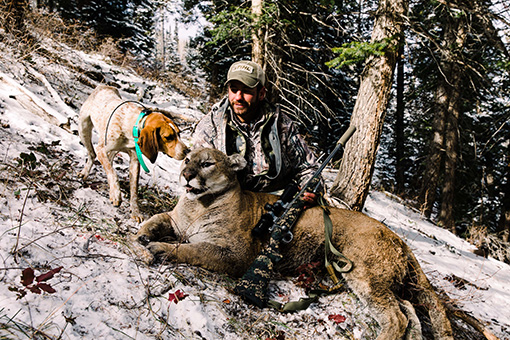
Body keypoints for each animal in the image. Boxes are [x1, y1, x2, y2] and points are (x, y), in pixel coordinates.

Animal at [78, 85, 190, 220]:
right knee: (93, 155)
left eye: (179, 134)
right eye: (168, 137)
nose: (187, 151)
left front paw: (135, 211)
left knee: (109, 159)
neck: (132, 127)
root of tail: (103, 85)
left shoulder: (135, 162)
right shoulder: (101, 150)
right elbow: (113, 173)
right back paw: (85, 173)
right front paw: (116, 194)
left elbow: (134, 191)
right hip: (83, 130)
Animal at [136, 147, 454, 338]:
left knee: (396, 317)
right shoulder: (174, 220)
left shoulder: (235, 255)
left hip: (366, 275)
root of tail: (400, 239)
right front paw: (142, 234)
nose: (186, 174)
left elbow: (192, 249)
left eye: (207, 163)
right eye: (187, 159)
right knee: (409, 310)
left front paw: (158, 248)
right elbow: (154, 218)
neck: (198, 206)